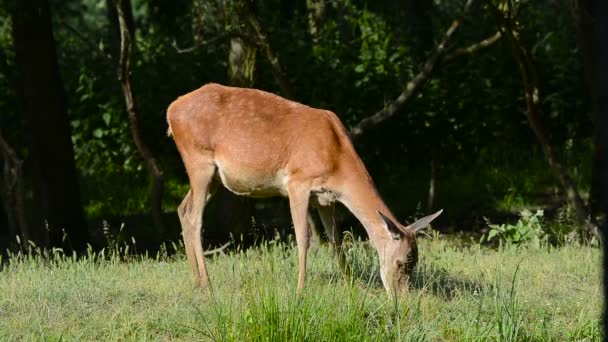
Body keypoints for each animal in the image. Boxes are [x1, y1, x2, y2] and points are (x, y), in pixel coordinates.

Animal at [166, 83, 442, 296]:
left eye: (414, 264)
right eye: (400, 262)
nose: (401, 299)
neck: (337, 161)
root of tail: (171, 110)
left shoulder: (326, 198)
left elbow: (336, 240)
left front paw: (351, 286)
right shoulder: (298, 182)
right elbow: (304, 238)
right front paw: (300, 290)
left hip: (212, 177)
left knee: (183, 209)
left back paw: (195, 281)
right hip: (198, 160)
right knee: (195, 218)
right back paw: (207, 284)